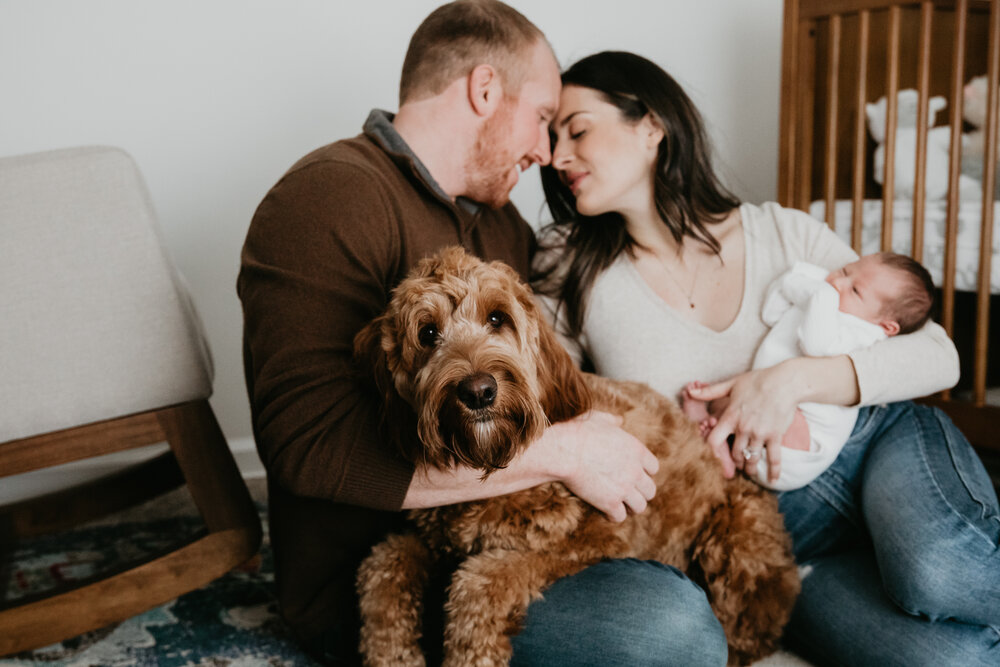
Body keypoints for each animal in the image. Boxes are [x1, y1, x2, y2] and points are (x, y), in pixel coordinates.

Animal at [356, 248, 800, 664]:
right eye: (428, 332)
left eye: (498, 318)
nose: (478, 390)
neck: (496, 459)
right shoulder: (429, 538)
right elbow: (382, 565)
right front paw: (392, 654)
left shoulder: (598, 535)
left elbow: (479, 581)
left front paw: (473, 653)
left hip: (735, 540)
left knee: (750, 632)